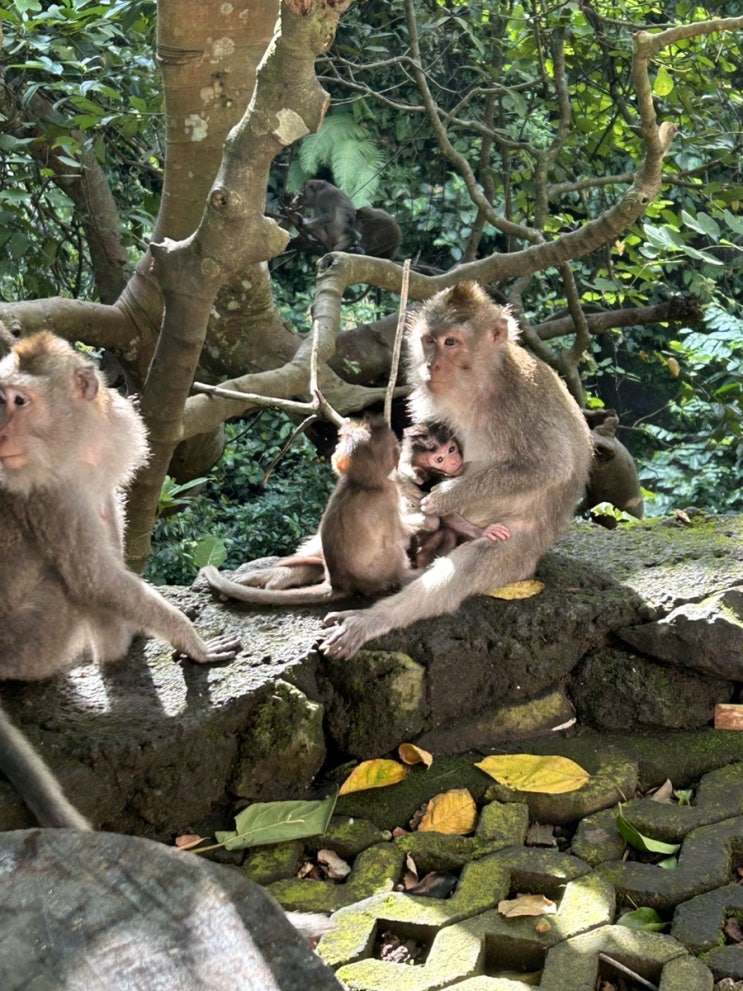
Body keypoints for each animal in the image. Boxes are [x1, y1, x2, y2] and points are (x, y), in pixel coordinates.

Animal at [0, 332, 241, 828]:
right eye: (2, 400)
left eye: (20, 401)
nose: (0, 433)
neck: (75, 445)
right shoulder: (45, 492)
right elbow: (92, 577)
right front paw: (188, 640)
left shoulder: (114, 437)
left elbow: (108, 510)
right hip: (17, 645)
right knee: (66, 587)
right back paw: (108, 649)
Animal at [399, 421, 511, 568]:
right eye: (439, 459)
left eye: (451, 449)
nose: (454, 461)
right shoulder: (430, 481)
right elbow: (447, 516)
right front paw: (482, 531)